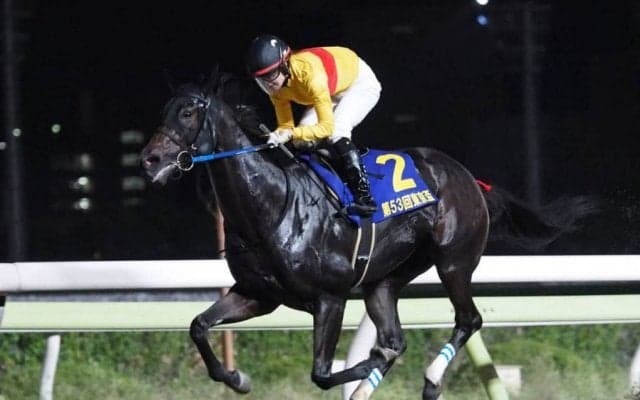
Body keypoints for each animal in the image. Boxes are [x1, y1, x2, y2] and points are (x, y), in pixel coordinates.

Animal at [140, 72, 596, 400]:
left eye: (187, 113)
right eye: (164, 110)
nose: (150, 159)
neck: (271, 205)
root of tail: (468, 177)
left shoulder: (330, 298)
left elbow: (323, 373)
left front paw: (371, 360)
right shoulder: (258, 295)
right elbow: (199, 326)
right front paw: (237, 378)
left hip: (453, 261)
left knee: (468, 319)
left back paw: (431, 380)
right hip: (383, 282)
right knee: (397, 334)